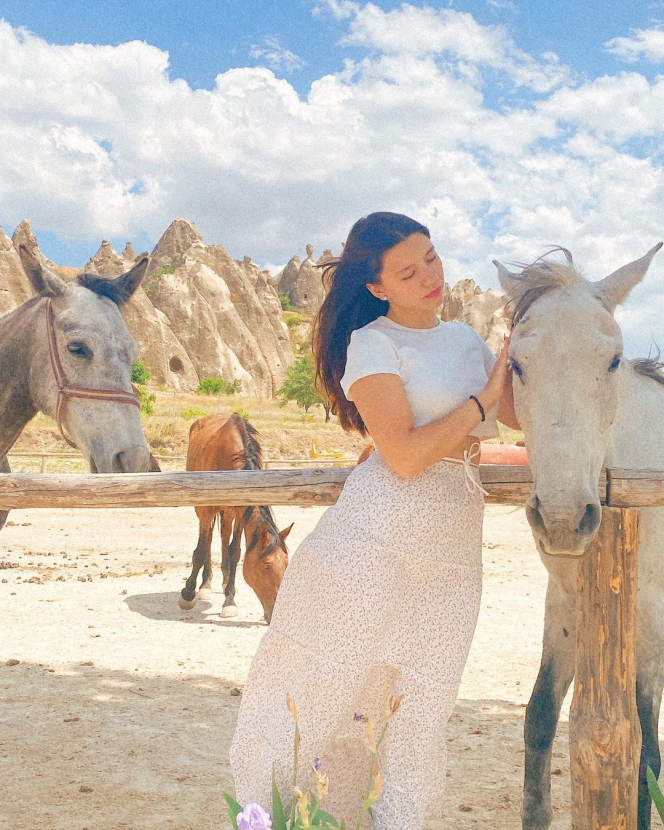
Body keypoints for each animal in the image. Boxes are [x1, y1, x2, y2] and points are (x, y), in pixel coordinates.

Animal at [178, 416, 292, 624]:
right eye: (266, 566)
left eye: (287, 563)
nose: (276, 614)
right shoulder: (206, 509)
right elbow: (201, 550)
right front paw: (188, 593)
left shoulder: (240, 513)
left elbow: (235, 553)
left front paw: (229, 601)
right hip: (203, 509)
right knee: (208, 540)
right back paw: (204, 585)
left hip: (228, 512)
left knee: (224, 536)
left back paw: (224, 581)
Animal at [498, 242, 664, 830]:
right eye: (517, 365)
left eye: (612, 360)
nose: (565, 519)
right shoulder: (565, 603)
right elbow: (541, 715)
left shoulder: (651, 616)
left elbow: (645, 745)